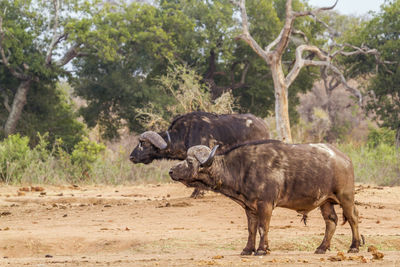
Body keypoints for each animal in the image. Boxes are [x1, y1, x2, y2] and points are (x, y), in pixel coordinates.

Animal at [167, 141, 360, 256]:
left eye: (189, 161)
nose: (171, 171)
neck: (242, 168)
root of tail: (345, 159)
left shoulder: (265, 205)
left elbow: (263, 227)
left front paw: (261, 249)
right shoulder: (250, 208)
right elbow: (251, 229)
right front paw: (248, 249)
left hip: (346, 197)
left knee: (353, 218)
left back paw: (354, 246)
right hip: (325, 202)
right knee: (331, 221)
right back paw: (321, 248)